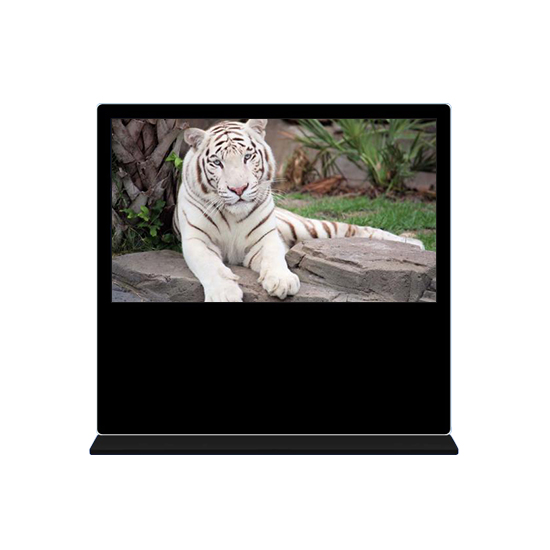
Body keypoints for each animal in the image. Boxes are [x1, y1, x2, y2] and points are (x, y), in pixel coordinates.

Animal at [176, 119, 424, 302]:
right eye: (217, 162)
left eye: (247, 156)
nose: (238, 189)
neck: (233, 215)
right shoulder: (196, 240)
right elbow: (211, 266)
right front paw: (224, 293)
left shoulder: (266, 237)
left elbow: (274, 256)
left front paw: (282, 281)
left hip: (309, 228)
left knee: (355, 229)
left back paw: (413, 244)